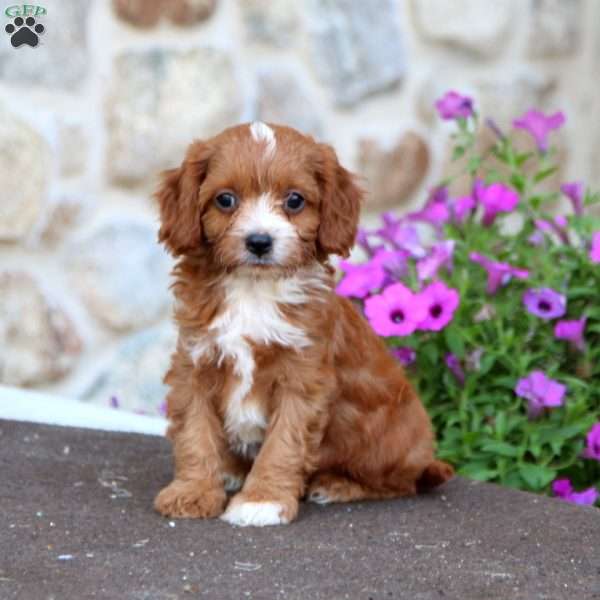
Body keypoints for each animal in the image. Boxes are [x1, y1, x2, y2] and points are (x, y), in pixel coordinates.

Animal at [152, 122, 452, 524]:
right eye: (225, 200)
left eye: (294, 200)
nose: (259, 241)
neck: (253, 289)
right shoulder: (195, 364)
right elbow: (194, 434)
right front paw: (193, 492)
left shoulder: (303, 378)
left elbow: (283, 444)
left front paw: (261, 501)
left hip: (388, 441)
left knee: (399, 484)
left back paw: (336, 485)